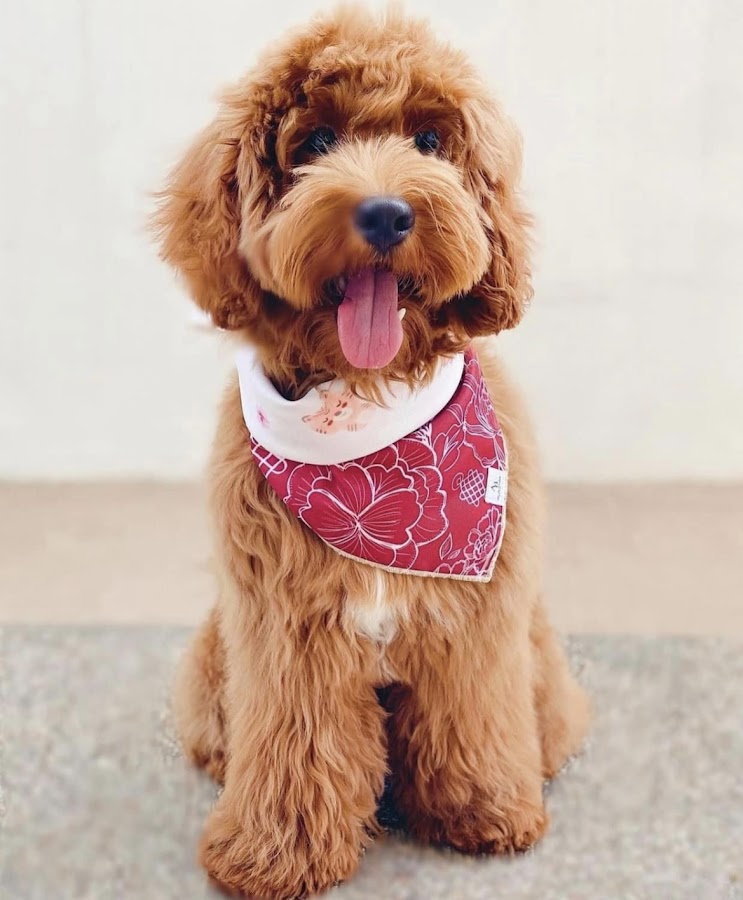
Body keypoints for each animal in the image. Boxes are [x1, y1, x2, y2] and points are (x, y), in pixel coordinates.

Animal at [155, 7, 590, 897]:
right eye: (315, 140)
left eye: (429, 139)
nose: (387, 214)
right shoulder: (284, 628)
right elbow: (294, 742)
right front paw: (273, 853)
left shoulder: (478, 621)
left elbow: (473, 714)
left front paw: (484, 809)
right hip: (216, 653)